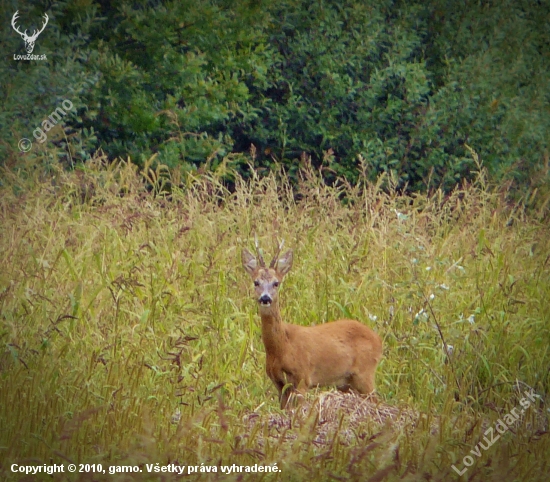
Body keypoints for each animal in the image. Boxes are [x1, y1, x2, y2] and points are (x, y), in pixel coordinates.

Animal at [242, 239, 384, 408]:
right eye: (256, 282)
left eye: (276, 283)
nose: (265, 298)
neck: (283, 347)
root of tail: (378, 340)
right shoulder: (279, 383)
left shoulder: (302, 377)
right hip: (346, 381)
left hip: (365, 372)